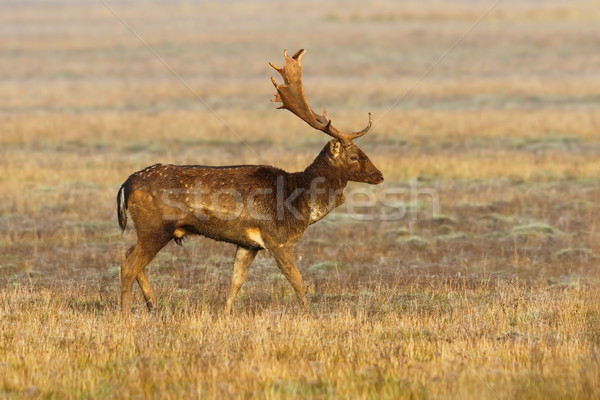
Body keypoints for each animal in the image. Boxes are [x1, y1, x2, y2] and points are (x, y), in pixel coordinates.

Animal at [116, 49, 384, 316]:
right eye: (354, 156)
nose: (379, 175)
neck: (301, 201)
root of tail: (126, 184)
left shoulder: (248, 245)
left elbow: (236, 282)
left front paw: (225, 314)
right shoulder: (278, 239)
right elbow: (298, 282)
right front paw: (310, 314)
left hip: (154, 230)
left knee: (129, 255)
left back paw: (153, 306)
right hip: (155, 227)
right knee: (128, 265)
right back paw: (127, 314)